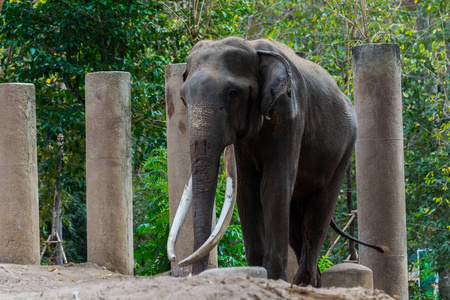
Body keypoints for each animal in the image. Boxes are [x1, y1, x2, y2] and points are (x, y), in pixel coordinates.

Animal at [167, 36, 384, 288]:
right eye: (183, 98)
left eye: (232, 93)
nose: (183, 264)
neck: (255, 50)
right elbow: (247, 193)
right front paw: (255, 272)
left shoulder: (289, 114)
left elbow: (273, 186)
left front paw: (274, 278)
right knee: (295, 220)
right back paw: (311, 283)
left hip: (344, 149)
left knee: (317, 213)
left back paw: (304, 283)